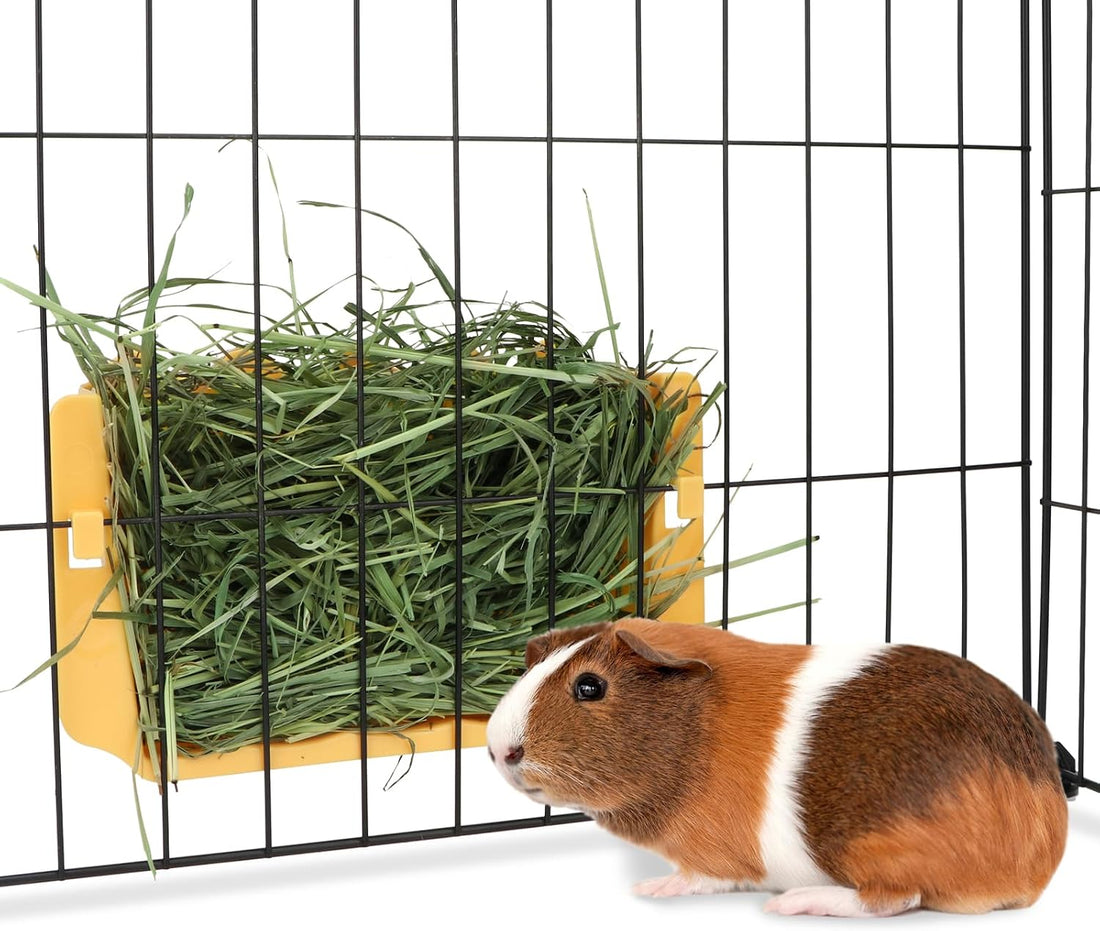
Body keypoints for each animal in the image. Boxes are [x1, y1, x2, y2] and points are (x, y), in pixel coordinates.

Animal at [485, 617, 1068, 918]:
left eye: (590, 686)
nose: (498, 750)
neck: (700, 737)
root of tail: (1038, 862)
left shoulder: (717, 858)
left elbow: (700, 877)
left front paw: (650, 889)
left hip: (868, 847)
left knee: (892, 898)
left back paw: (791, 905)